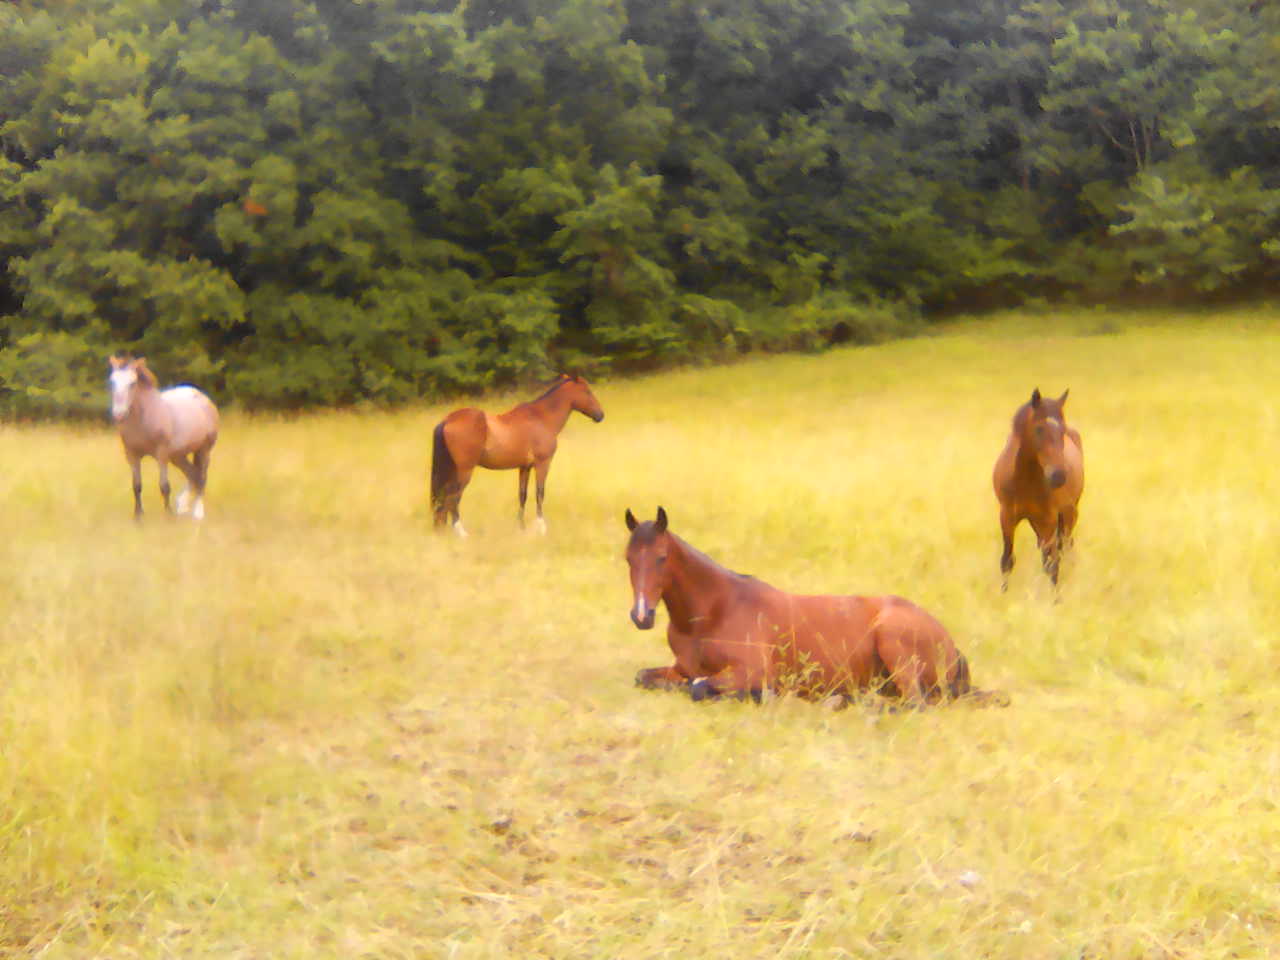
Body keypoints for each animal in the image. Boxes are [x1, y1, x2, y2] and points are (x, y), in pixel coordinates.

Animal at [110, 355, 222, 522]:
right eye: (112, 382)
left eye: (132, 383)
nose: (119, 413)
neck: (143, 419)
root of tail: (204, 399)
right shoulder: (132, 455)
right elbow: (136, 485)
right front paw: (138, 516)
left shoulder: (161, 454)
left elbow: (164, 485)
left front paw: (169, 516)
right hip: (178, 456)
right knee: (192, 474)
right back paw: (182, 507)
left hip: (204, 450)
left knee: (201, 477)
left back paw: (197, 512)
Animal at [430, 376, 604, 537]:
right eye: (587, 391)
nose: (600, 415)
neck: (541, 418)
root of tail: (447, 420)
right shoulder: (543, 464)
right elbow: (540, 493)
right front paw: (541, 528)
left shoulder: (524, 467)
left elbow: (522, 495)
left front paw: (521, 527)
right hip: (464, 471)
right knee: (452, 498)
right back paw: (461, 533)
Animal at [624, 512, 1003, 706]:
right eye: (628, 558)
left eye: (661, 558)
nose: (641, 616)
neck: (714, 611)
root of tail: (950, 643)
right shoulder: (680, 668)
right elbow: (647, 677)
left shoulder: (753, 672)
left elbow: (699, 687)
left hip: (894, 641)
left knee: (914, 703)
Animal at [988, 386, 1080, 591]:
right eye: (1039, 429)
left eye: (1062, 431)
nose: (1058, 476)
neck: (1024, 480)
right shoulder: (1006, 516)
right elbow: (1007, 561)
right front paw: (1003, 594)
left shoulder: (1048, 518)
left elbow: (1052, 564)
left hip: (1067, 514)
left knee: (1065, 549)